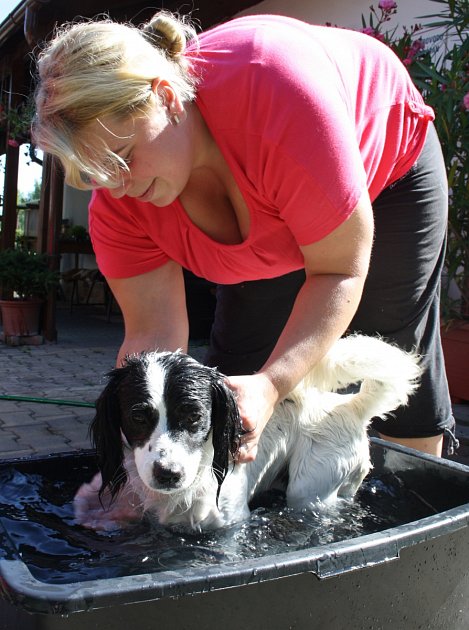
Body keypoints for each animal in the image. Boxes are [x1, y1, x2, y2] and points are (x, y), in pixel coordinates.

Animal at [85, 336, 420, 532]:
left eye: (195, 417)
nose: (168, 473)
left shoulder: (231, 524)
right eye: (138, 417)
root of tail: (350, 406)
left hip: (310, 489)